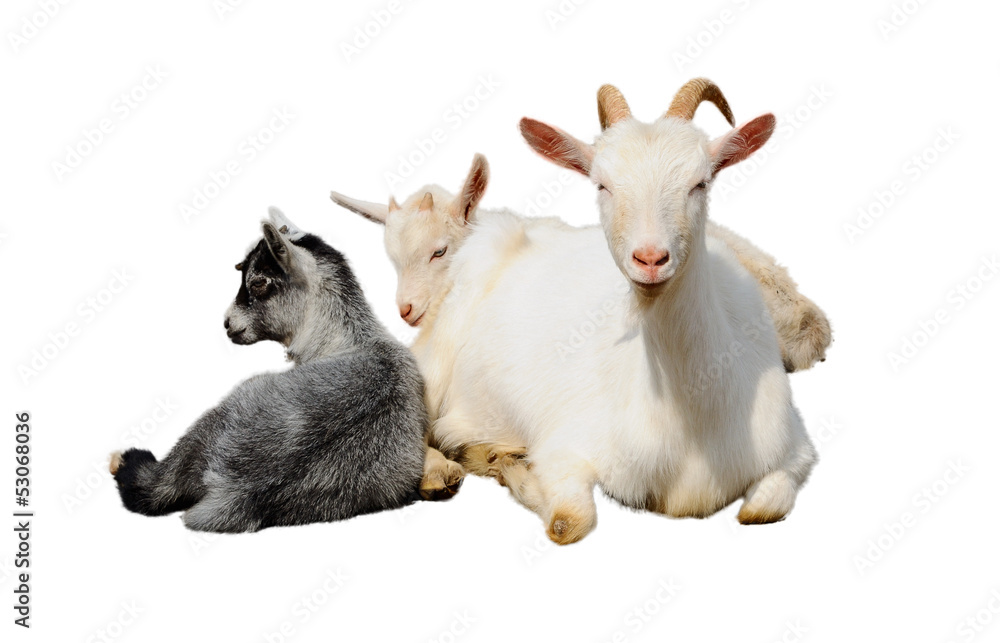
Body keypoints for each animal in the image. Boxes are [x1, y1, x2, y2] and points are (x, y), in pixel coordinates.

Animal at [108, 208, 448, 532]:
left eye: (259, 282)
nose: (227, 323)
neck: (350, 337)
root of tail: (238, 493)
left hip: (224, 410)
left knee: (156, 485)